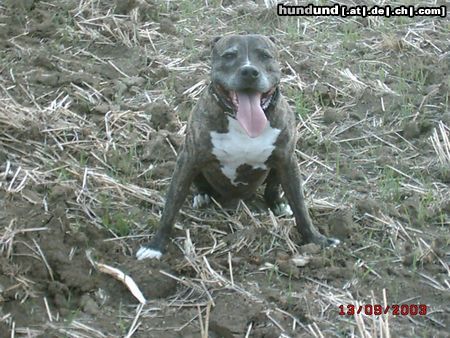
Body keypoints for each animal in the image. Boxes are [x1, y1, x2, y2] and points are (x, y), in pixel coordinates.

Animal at [136, 34, 338, 260]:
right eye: (229, 56)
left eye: (265, 56)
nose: (249, 71)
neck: (242, 125)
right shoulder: (188, 159)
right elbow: (171, 206)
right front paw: (155, 245)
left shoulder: (287, 159)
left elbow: (301, 207)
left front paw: (316, 240)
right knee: (200, 185)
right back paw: (202, 196)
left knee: (272, 188)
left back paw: (277, 204)